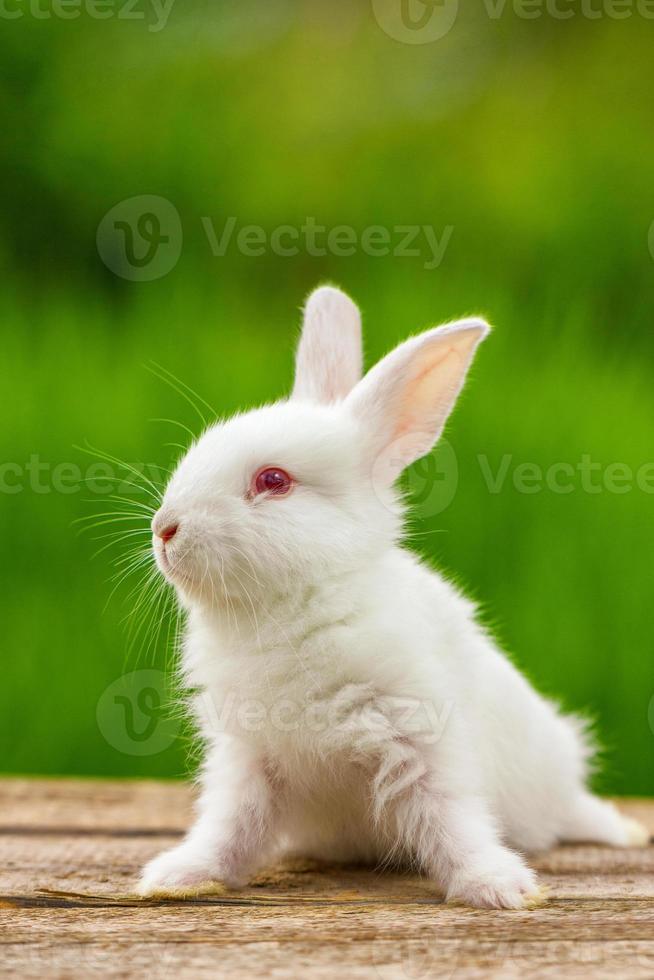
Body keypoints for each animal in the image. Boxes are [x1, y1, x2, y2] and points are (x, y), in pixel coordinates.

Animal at [140, 288, 652, 908]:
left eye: (274, 481)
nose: (164, 529)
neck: (294, 609)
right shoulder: (248, 758)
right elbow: (230, 826)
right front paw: (178, 876)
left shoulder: (421, 735)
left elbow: (451, 817)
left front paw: (497, 886)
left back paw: (623, 831)